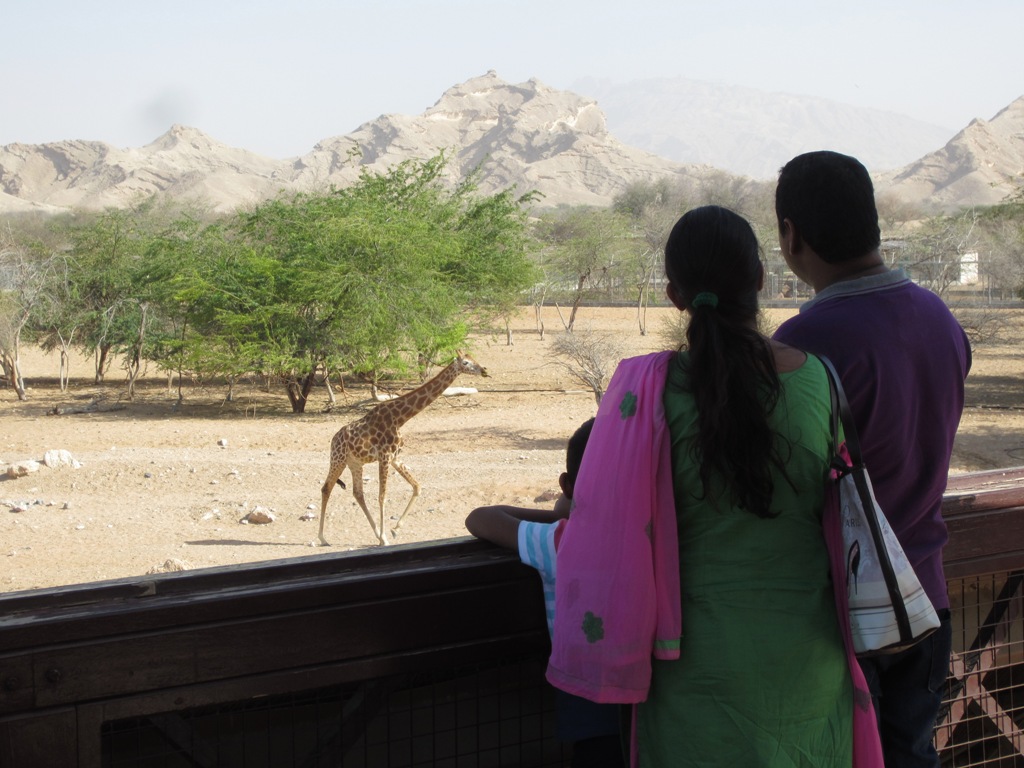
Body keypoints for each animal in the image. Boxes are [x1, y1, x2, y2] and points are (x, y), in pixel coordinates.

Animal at [317, 352, 489, 544]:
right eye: (466, 362)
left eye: (474, 358)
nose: (484, 370)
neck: (399, 419)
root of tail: (334, 440)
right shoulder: (384, 456)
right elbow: (382, 497)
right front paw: (386, 537)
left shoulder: (394, 457)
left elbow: (417, 486)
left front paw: (394, 530)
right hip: (338, 459)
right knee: (326, 488)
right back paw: (322, 538)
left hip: (355, 463)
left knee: (358, 493)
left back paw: (376, 533)